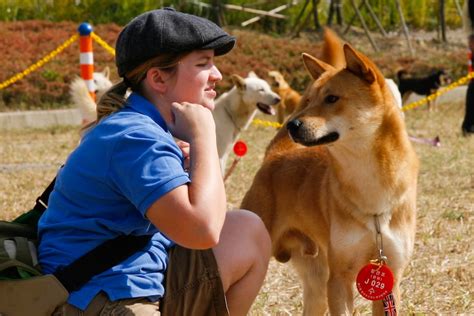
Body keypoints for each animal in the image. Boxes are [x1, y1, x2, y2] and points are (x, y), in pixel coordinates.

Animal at [241, 32, 418, 314]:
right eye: (309, 100)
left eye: (332, 98)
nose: (291, 125)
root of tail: (275, 154)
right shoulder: (338, 279)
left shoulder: (389, 277)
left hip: (316, 284)